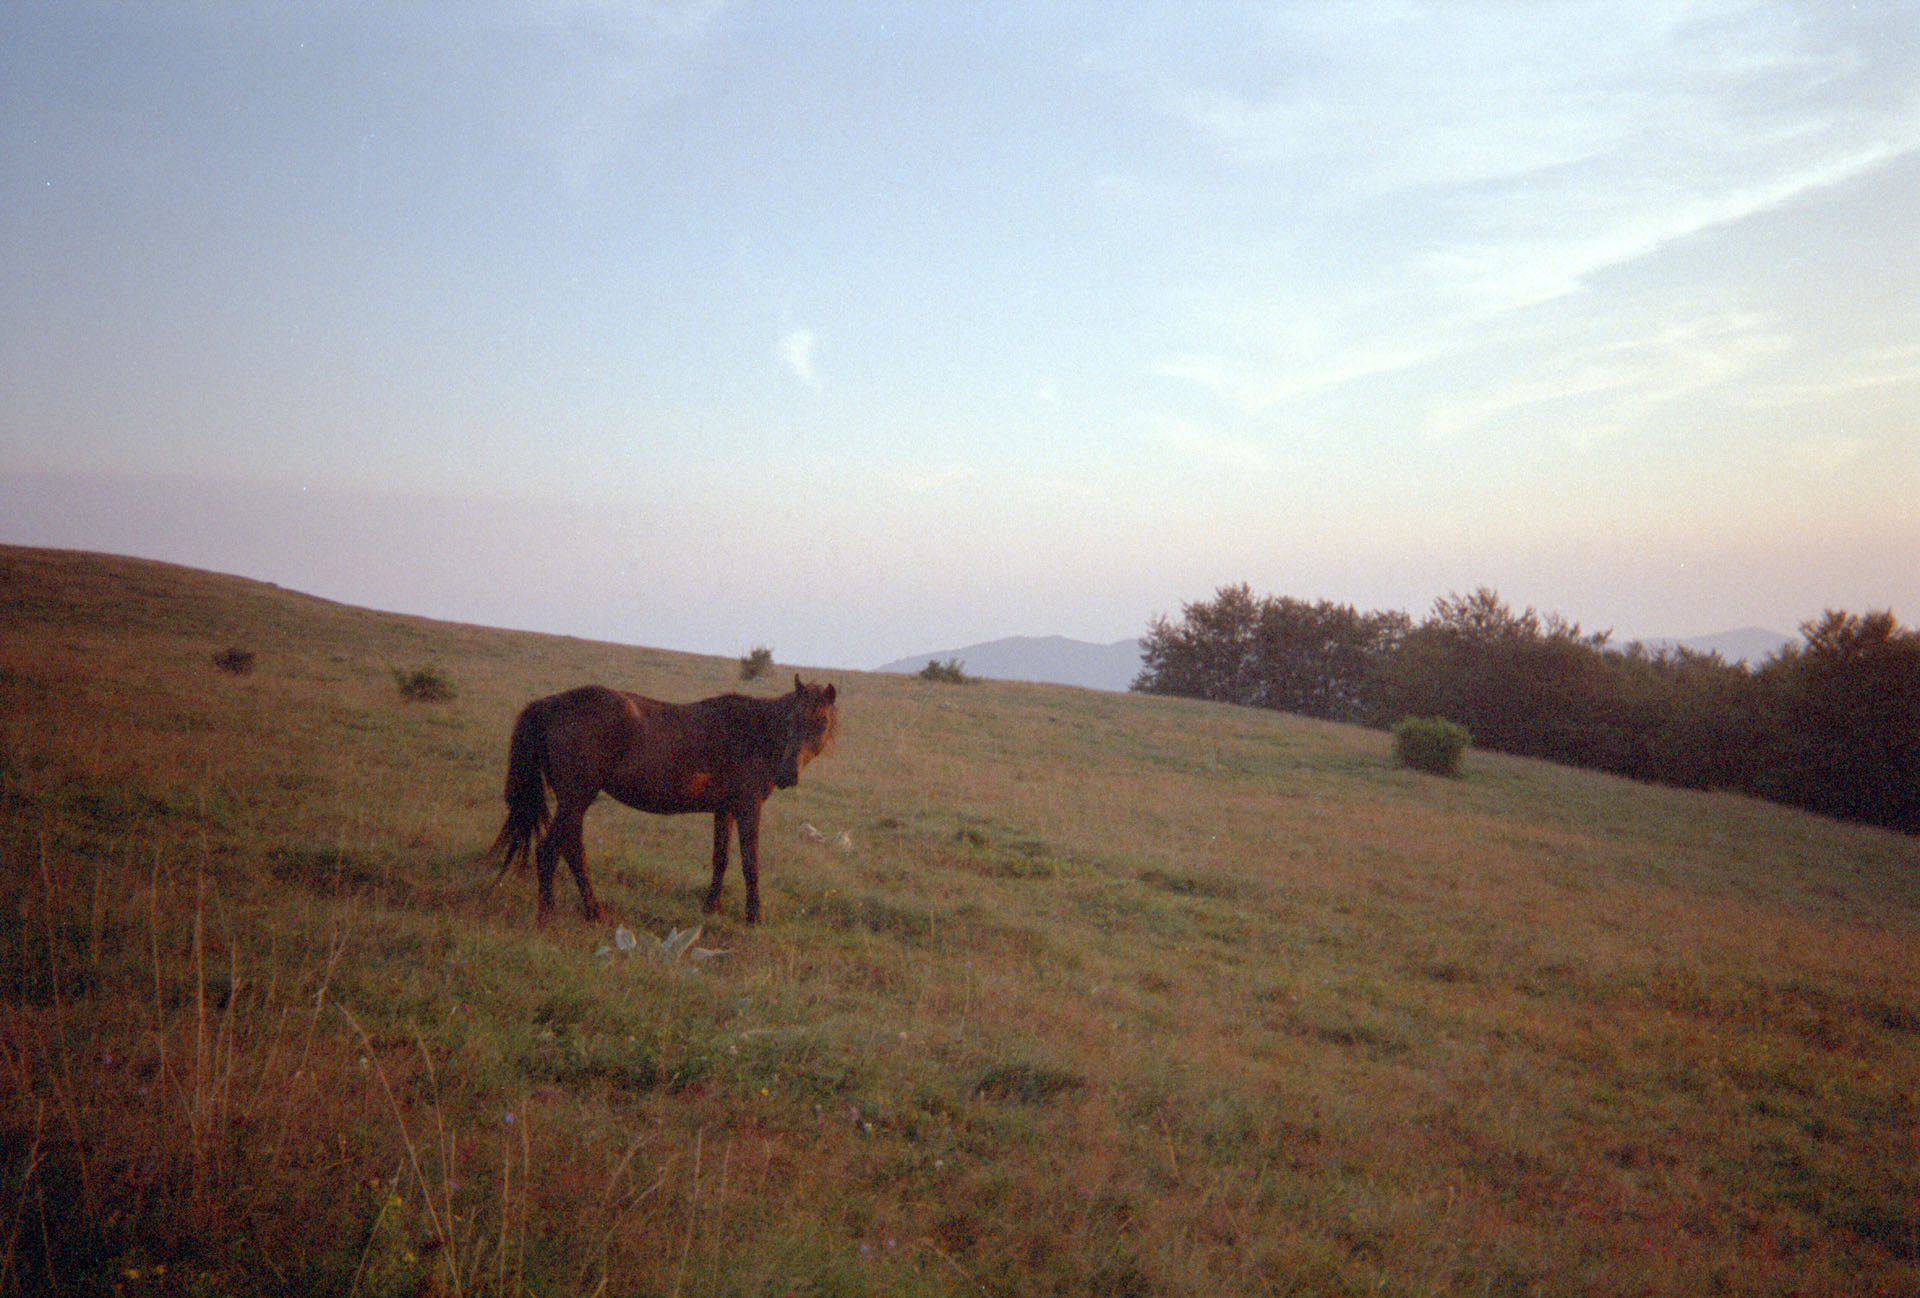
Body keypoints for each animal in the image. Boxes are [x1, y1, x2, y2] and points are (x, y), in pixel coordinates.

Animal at [491, 675, 837, 929]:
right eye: (792, 719)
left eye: (821, 722)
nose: (787, 774)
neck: (754, 733)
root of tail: (553, 703)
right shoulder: (748, 807)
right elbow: (750, 863)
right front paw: (754, 917)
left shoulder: (724, 809)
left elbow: (721, 859)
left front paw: (711, 907)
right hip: (576, 798)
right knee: (550, 850)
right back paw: (550, 915)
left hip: (575, 802)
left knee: (572, 850)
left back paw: (594, 911)